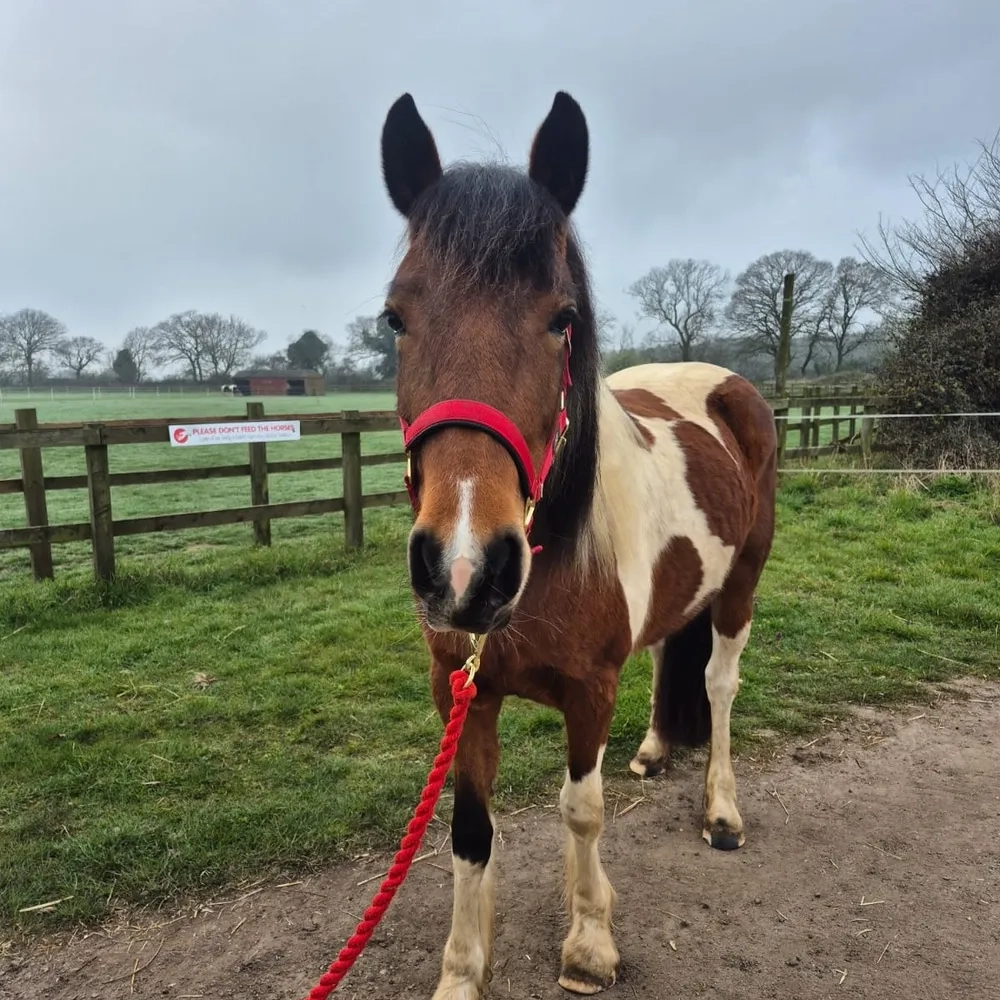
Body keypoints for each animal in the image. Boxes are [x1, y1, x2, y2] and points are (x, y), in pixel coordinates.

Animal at [379, 90, 777, 999]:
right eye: (394, 317)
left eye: (562, 319)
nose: (464, 569)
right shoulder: (461, 691)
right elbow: (470, 831)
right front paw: (463, 971)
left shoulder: (591, 691)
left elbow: (580, 812)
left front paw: (590, 940)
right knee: (671, 655)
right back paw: (657, 751)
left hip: (741, 584)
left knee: (719, 684)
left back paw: (722, 809)